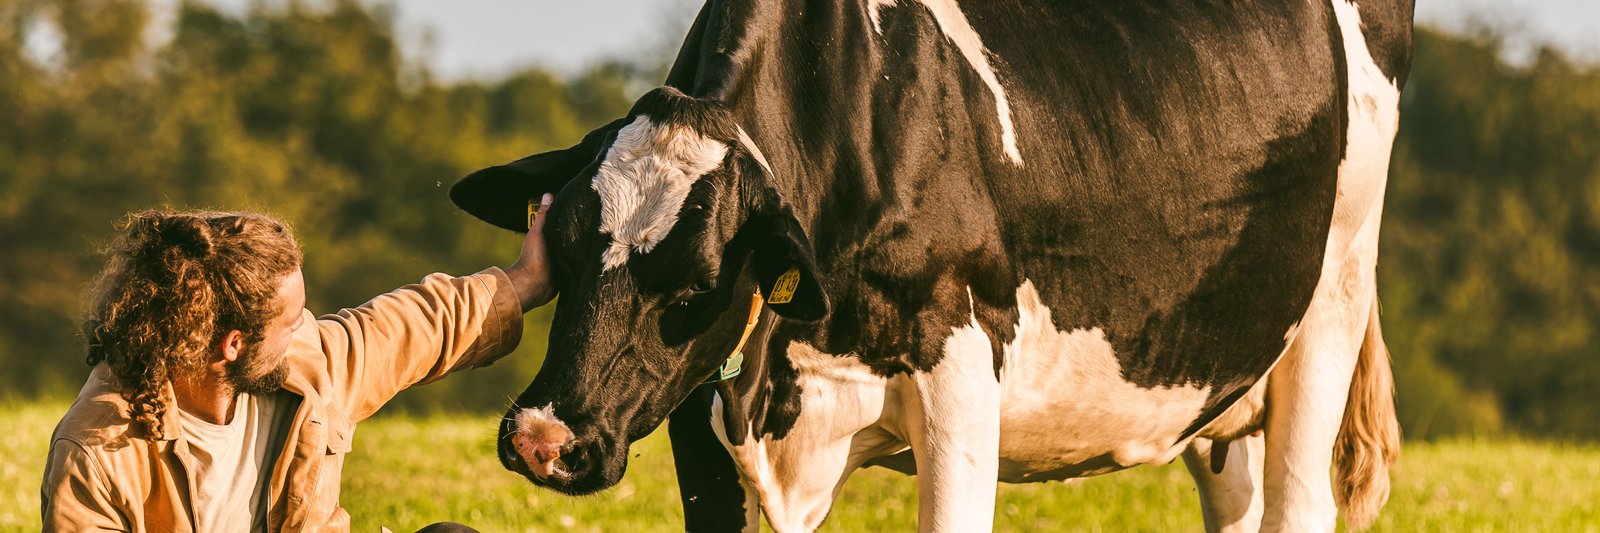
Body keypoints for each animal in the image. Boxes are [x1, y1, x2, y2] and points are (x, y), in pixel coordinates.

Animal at [449, 0, 1412, 531]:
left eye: (692, 285)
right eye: (561, 255)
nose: (542, 438)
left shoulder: (960, 365)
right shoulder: (702, 414)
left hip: (1332, 298)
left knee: (1299, 501)